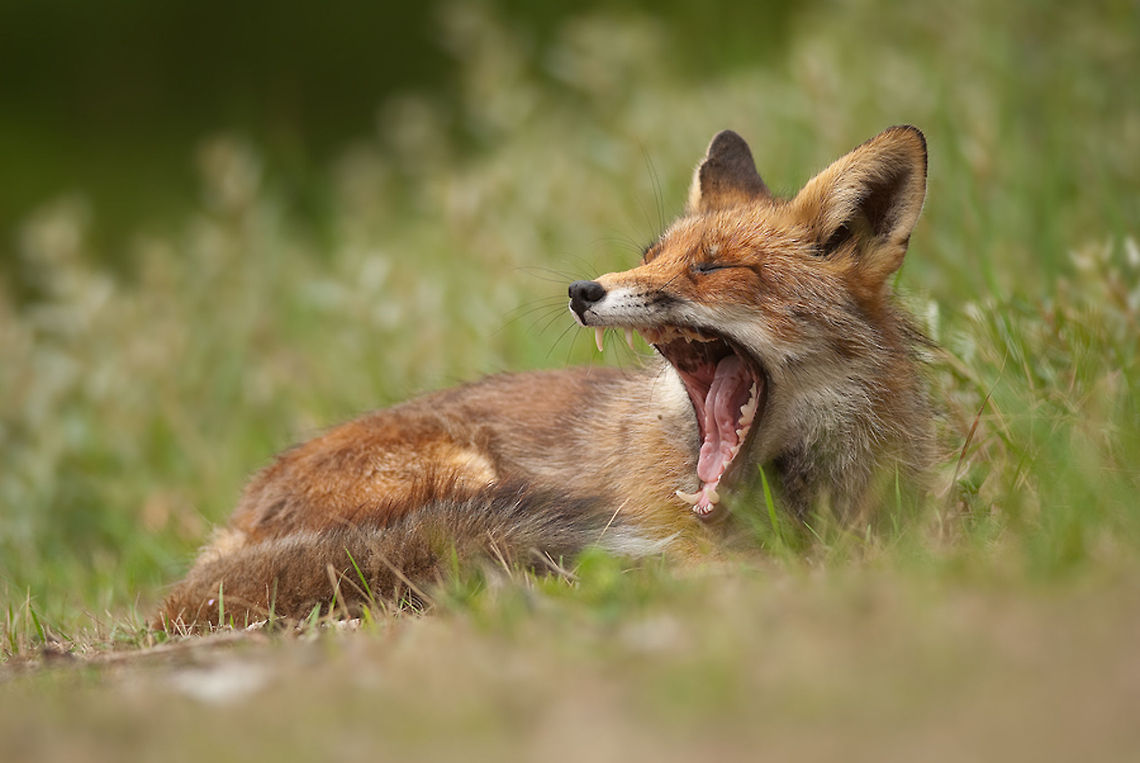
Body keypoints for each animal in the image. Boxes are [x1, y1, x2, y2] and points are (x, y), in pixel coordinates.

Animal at [158, 126, 933, 629]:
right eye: (649, 255)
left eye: (711, 266)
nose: (583, 289)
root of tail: (224, 535)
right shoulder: (658, 526)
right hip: (462, 475)